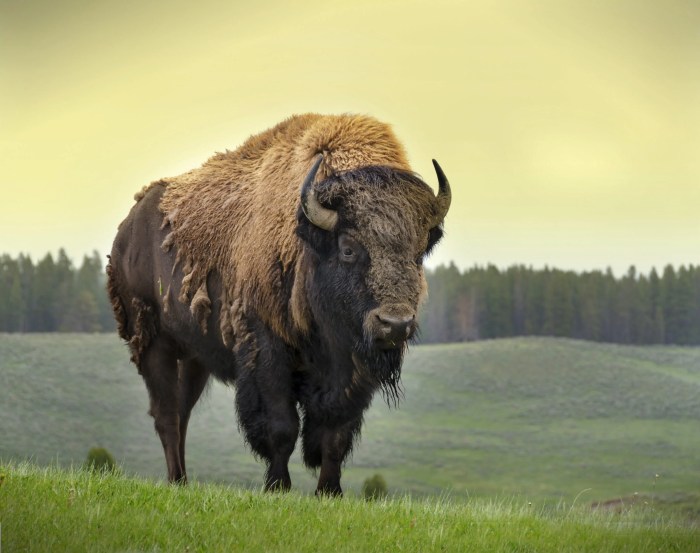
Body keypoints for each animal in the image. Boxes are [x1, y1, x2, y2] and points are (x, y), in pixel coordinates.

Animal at [107, 113, 451, 495]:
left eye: (419, 252)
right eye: (348, 248)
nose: (395, 323)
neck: (308, 243)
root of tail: (127, 230)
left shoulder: (351, 372)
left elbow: (336, 434)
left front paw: (329, 492)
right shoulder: (266, 350)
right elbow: (281, 427)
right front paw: (277, 486)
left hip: (194, 357)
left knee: (181, 413)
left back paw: (181, 482)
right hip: (154, 343)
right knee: (167, 415)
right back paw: (178, 480)